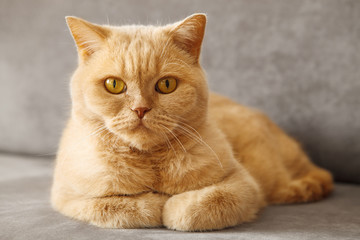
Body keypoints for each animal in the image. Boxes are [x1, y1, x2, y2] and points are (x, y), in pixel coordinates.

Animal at [50, 13, 332, 231]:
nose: (140, 109)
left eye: (166, 84)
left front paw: (173, 207)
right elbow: (116, 206)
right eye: (114, 85)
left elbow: (206, 203)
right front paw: (153, 204)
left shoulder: (243, 185)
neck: (151, 161)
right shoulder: (68, 196)